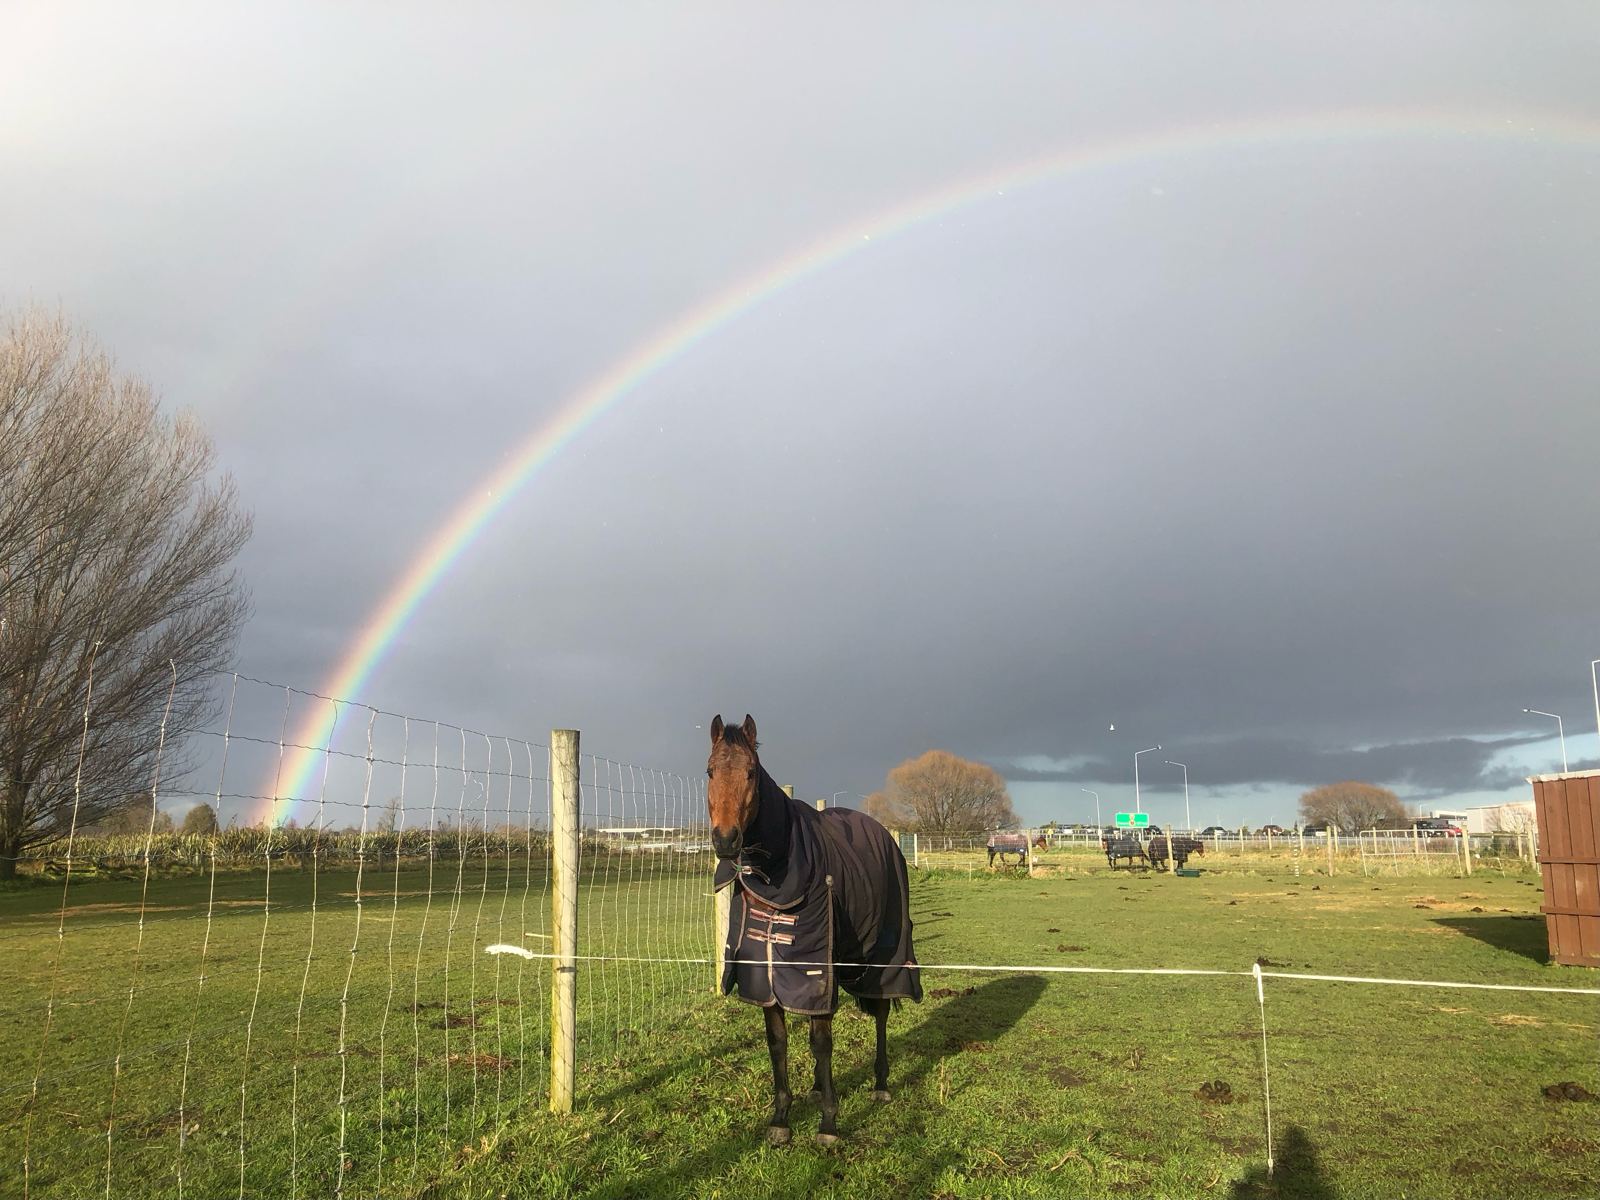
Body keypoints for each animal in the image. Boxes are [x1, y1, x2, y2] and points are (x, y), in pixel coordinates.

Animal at [707, 714, 922, 1145]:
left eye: (751, 772)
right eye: (709, 771)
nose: (725, 840)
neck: (777, 878)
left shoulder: (817, 969)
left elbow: (821, 1042)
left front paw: (828, 1124)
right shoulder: (768, 976)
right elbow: (778, 1043)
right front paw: (781, 1119)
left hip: (879, 956)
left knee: (880, 1012)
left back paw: (880, 1084)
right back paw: (821, 1087)